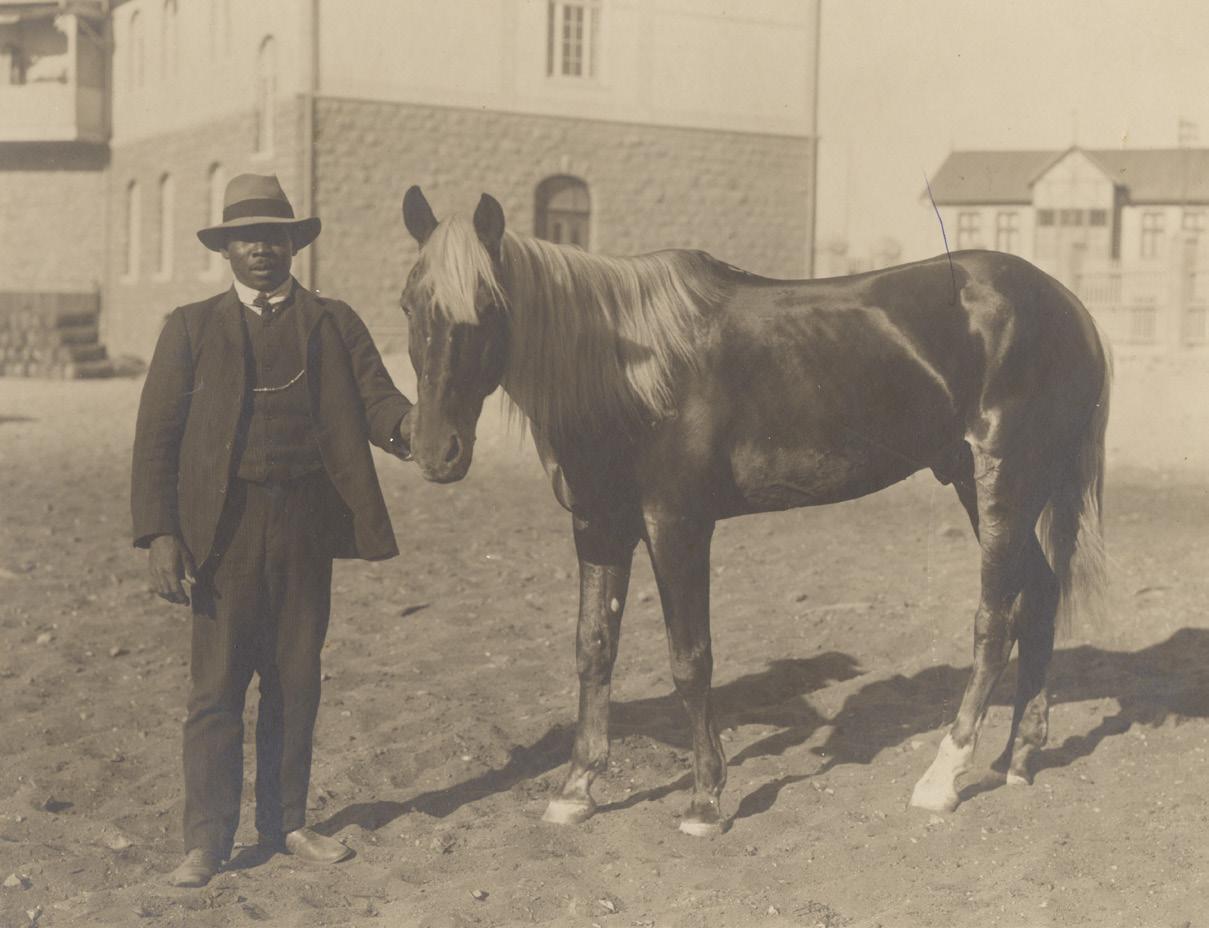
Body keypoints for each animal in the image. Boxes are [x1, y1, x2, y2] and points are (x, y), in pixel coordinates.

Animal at [397, 186, 1111, 836]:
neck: (631, 374)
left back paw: (942, 779)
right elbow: (593, 648)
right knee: (1039, 596)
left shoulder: (676, 525)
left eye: (487, 306)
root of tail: (1068, 304)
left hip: (1003, 484)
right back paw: (1018, 758)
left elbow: (690, 659)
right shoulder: (598, 526)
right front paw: (576, 791)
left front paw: (705, 801)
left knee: (994, 622)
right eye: (407, 304)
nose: (433, 451)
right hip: (980, 484)